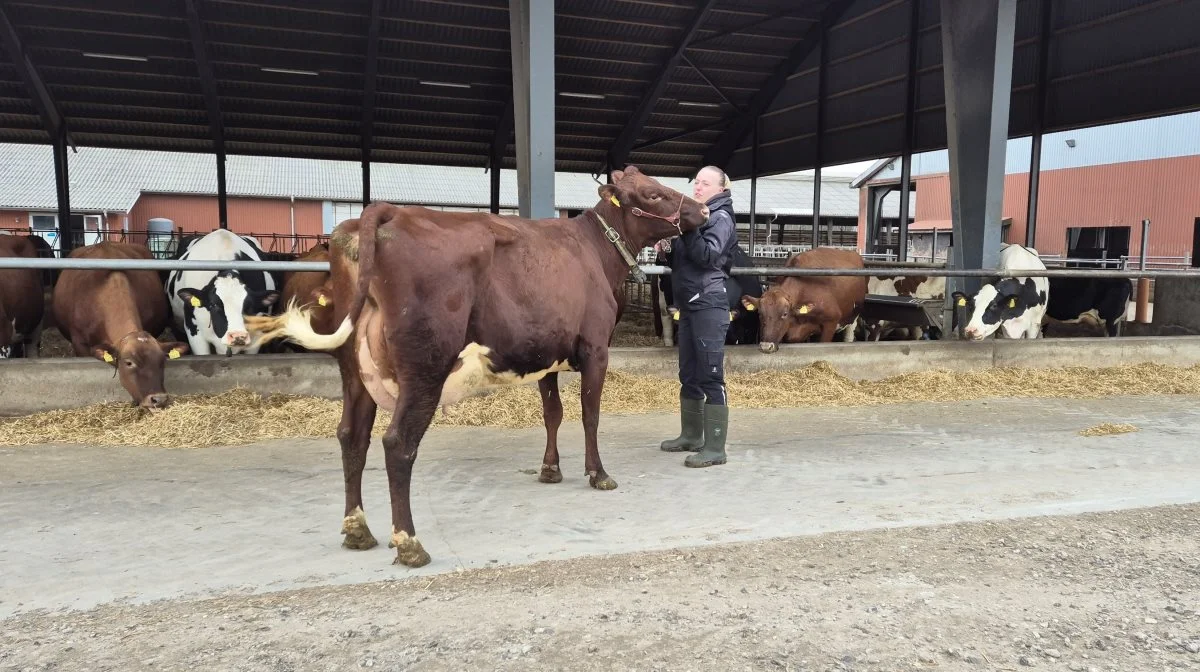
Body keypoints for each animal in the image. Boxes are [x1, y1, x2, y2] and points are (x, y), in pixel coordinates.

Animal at [247, 164, 705, 566]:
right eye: (653, 194)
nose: (701, 210)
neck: (594, 252)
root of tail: (389, 212)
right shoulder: (596, 348)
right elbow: (589, 414)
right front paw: (598, 473)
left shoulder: (546, 353)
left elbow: (553, 414)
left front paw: (550, 468)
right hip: (425, 366)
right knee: (397, 444)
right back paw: (410, 543)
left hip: (354, 371)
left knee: (351, 437)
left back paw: (358, 530)